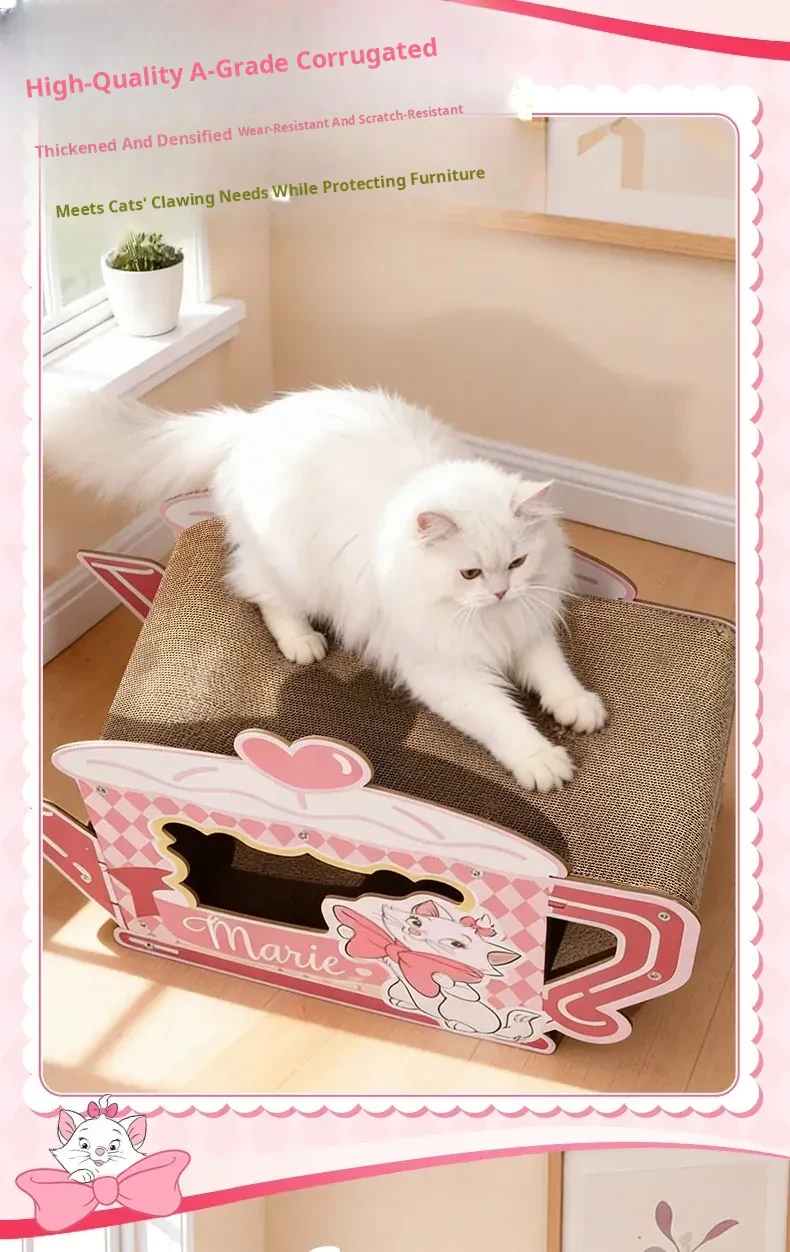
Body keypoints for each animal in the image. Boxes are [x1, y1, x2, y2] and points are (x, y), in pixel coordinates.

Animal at [44, 384, 607, 791]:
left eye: (517, 563)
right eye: (470, 574)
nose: (501, 593)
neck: (488, 620)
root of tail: (252, 422)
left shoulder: (527, 626)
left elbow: (553, 672)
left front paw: (577, 707)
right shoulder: (447, 669)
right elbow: (502, 718)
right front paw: (541, 761)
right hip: (291, 570)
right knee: (266, 598)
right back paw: (303, 644)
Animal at [333, 897, 547, 1041]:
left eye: (456, 944)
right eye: (416, 921)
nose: (415, 930)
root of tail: (499, 1027)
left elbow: (459, 988)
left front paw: (443, 978)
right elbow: (385, 953)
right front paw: (345, 931)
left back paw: (458, 1024)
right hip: (397, 989)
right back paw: (404, 1004)